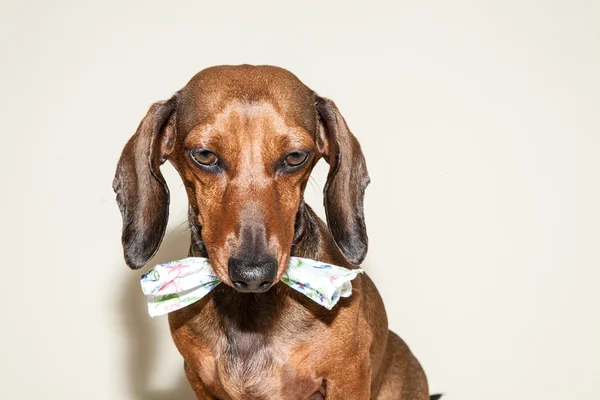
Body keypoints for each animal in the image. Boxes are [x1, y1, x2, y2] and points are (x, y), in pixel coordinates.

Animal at [113, 64, 436, 398]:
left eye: (295, 157)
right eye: (204, 155)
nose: (253, 274)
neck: (249, 313)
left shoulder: (348, 375)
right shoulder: (198, 379)